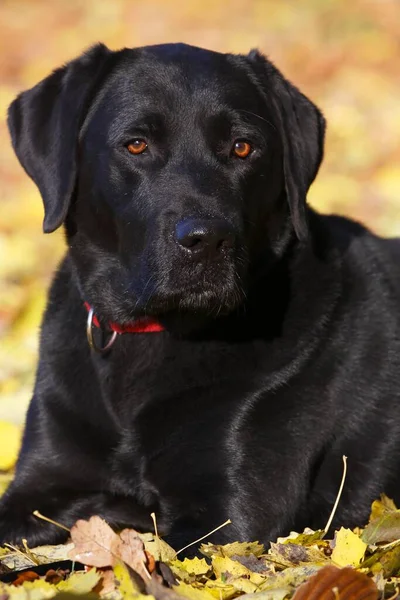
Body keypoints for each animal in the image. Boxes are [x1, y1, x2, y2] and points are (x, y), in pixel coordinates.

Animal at [0, 41, 400, 552]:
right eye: (136, 144)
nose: (207, 240)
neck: (152, 331)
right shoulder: (38, 478)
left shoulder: (228, 520)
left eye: (243, 147)